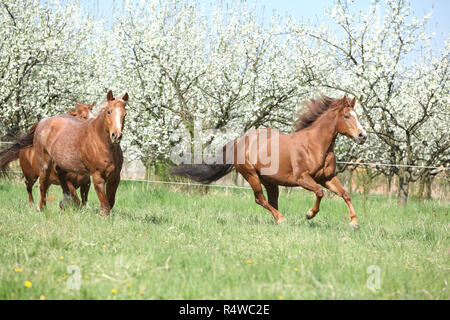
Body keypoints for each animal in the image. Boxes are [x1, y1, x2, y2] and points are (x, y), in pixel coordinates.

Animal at [171, 95, 366, 230]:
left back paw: (279, 220)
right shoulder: (302, 179)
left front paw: (354, 224)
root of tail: (239, 141)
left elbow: (345, 194)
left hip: (270, 181)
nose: (362, 136)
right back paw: (281, 219)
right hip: (251, 176)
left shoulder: (327, 178)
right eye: (347, 116)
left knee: (272, 200)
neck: (316, 145)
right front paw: (309, 214)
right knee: (260, 199)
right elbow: (319, 193)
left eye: (357, 115)